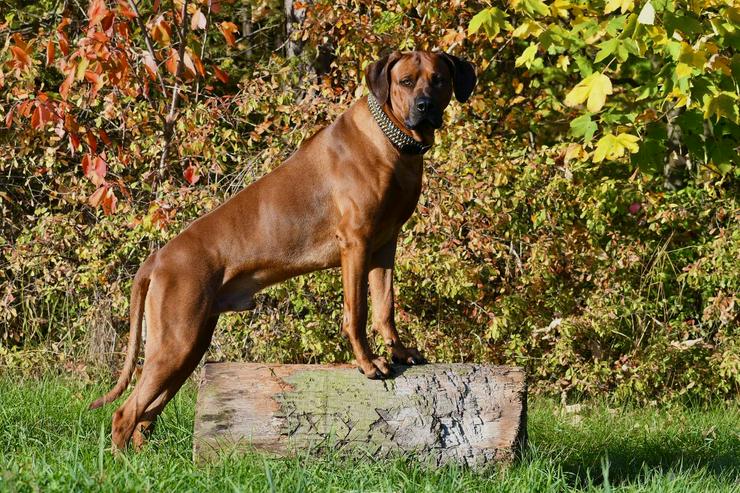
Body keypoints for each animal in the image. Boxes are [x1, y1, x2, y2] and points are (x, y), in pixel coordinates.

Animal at [89, 51, 476, 450]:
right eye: (406, 81)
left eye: (439, 80)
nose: (425, 106)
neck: (391, 139)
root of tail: (157, 258)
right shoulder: (356, 243)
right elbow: (357, 312)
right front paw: (368, 363)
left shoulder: (385, 245)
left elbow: (385, 307)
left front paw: (399, 351)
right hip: (176, 341)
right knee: (125, 414)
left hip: (189, 345)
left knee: (146, 416)